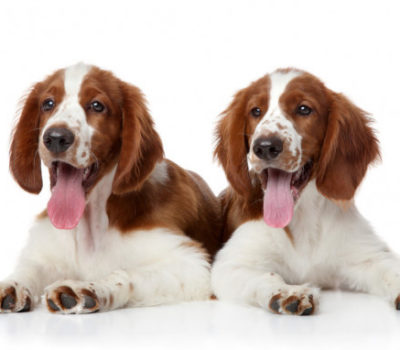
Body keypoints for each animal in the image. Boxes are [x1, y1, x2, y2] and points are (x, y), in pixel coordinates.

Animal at [0, 63, 220, 314]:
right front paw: (12, 284)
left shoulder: (193, 264)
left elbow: (126, 274)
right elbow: (30, 268)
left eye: (97, 105)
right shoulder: (44, 250)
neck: (91, 225)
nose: (56, 137)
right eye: (48, 103)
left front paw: (85, 288)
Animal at [211, 68, 400, 314]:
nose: (265, 146)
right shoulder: (230, 264)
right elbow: (265, 276)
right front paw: (288, 292)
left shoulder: (371, 255)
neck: (303, 216)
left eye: (304, 109)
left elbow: (392, 270)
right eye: (256, 111)